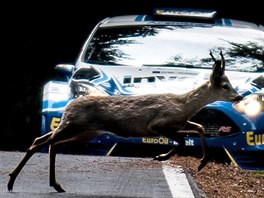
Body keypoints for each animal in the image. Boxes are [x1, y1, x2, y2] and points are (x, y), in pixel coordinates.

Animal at [7, 50, 242, 192]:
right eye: (224, 85)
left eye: (230, 83)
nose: (239, 97)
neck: (183, 105)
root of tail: (68, 107)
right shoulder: (158, 124)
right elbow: (183, 141)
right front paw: (161, 156)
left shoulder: (181, 123)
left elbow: (200, 127)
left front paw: (202, 162)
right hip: (73, 125)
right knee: (44, 143)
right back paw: (16, 181)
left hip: (83, 131)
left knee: (44, 141)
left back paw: (47, 183)